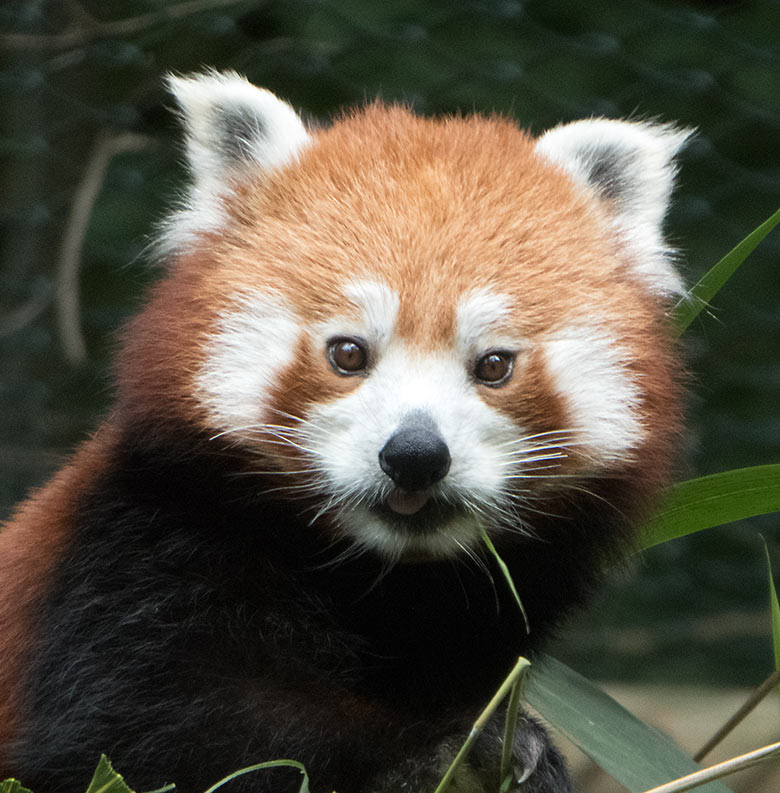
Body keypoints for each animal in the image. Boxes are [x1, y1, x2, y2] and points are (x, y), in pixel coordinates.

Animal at [0, 72, 684, 792]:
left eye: (495, 365)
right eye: (348, 353)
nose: (415, 455)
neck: (375, 581)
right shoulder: (127, 563)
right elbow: (152, 732)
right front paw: (442, 750)